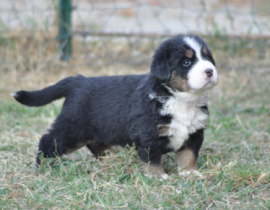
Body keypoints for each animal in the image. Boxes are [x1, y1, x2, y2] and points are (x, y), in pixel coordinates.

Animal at [13, 34, 218, 179]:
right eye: (186, 62)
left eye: (207, 57)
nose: (210, 71)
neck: (181, 99)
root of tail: (78, 81)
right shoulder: (148, 134)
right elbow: (153, 159)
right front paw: (159, 177)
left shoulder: (194, 132)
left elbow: (189, 155)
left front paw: (189, 173)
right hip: (72, 129)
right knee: (48, 140)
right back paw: (43, 166)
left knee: (95, 144)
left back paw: (110, 158)